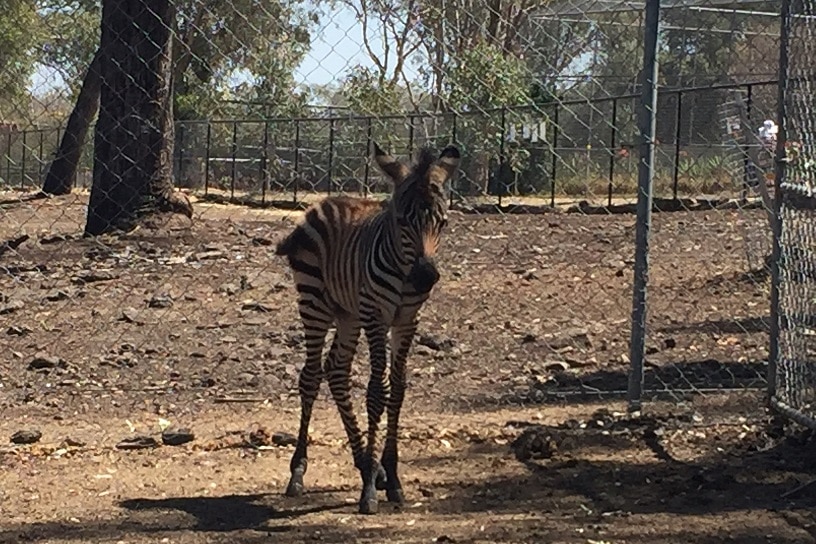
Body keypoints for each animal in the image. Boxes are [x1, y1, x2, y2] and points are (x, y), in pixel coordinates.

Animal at [276, 141, 462, 516]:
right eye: (402, 220)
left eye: (443, 223)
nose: (426, 276)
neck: (405, 269)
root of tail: (323, 202)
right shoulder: (377, 315)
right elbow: (378, 390)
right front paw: (369, 493)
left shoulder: (406, 320)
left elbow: (398, 389)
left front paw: (390, 475)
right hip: (314, 302)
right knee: (311, 376)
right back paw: (299, 472)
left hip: (348, 314)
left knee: (337, 372)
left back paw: (365, 464)